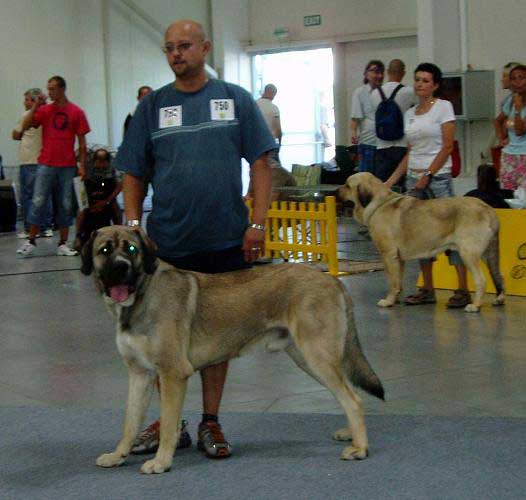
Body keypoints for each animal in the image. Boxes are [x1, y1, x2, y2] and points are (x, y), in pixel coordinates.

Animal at [81, 226, 384, 472]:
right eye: (105, 250)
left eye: (131, 249)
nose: (121, 268)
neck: (140, 296)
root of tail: (333, 280)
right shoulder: (140, 375)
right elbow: (129, 423)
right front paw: (118, 455)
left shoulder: (172, 374)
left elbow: (168, 425)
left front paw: (161, 461)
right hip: (308, 359)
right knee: (351, 395)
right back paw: (351, 434)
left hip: (317, 355)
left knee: (352, 399)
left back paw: (360, 448)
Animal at [338, 173, 508, 312]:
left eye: (347, 185)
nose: (335, 192)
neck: (379, 204)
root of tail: (488, 209)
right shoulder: (399, 259)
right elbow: (398, 281)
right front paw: (396, 298)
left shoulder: (388, 255)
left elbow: (392, 281)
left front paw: (388, 301)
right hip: (488, 254)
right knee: (498, 275)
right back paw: (499, 299)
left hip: (468, 253)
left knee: (481, 280)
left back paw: (475, 305)